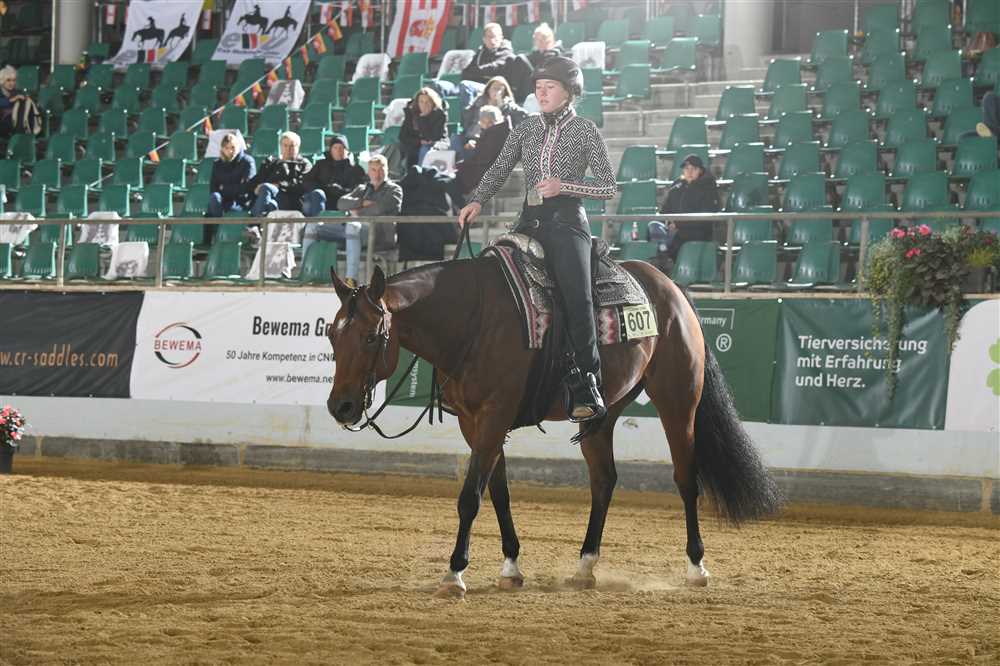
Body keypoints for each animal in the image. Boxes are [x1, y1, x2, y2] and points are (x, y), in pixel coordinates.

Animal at [325, 257, 781, 598]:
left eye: (371, 337)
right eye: (331, 334)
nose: (339, 406)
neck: (473, 318)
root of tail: (669, 288)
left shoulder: (494, 415)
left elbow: (470, 498)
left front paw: (454, 574)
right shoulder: (476, 423)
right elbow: (499, 493)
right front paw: (510, 567)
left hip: (678, 402)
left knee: (686, 479)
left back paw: (696, 566)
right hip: (602, 414)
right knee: (604, 480)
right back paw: (585, 566)